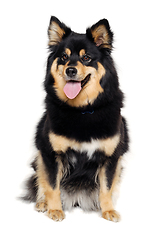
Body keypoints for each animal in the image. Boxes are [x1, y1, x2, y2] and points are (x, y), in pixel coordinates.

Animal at [23, 16, 129, 222]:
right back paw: (42, 203)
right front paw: (55, 210)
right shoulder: (50, 153)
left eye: (86, 57)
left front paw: (108, 211)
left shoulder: (112, 156)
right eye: (64, 57)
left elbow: (106, 187)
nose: (70, 70)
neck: (82, 110)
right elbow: (52, 185)